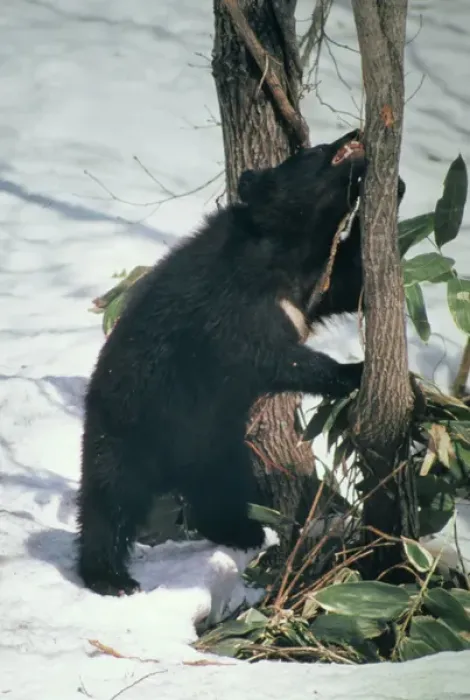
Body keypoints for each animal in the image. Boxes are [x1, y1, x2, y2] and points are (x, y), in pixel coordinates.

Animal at [77, 128, 406, 596]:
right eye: (313, 151)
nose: (355, 133)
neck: (288, 247)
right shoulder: (233, 302)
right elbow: (267, 355)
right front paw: (353, 371)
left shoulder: (311, 286)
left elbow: (349, 280)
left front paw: (394, 188)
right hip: (126, 430)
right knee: (109, 499)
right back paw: (110, 576)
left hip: (219, 448)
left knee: (219, 493)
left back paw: (242, 531)